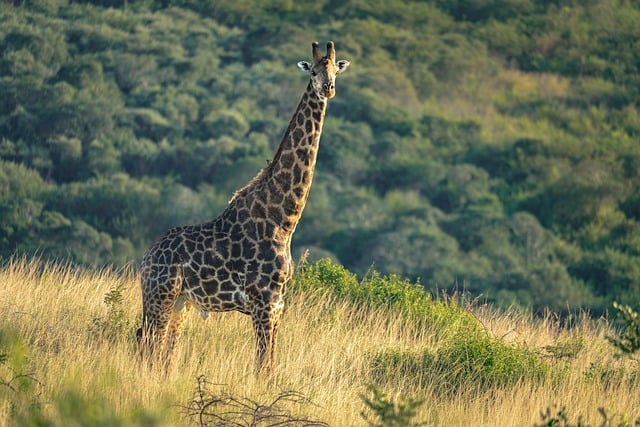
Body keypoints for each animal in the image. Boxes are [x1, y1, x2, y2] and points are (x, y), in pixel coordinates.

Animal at [137, 41, 349, 373]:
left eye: (334, 72)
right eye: (313, 72)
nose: (328, 89)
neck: (283, 219)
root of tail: (146, 258)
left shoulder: (278, 304)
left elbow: (269, 363)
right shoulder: (264, 301)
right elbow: (263, 366)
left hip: (181, 303)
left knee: (161, 350)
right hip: (161, 295)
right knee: (149, 344)